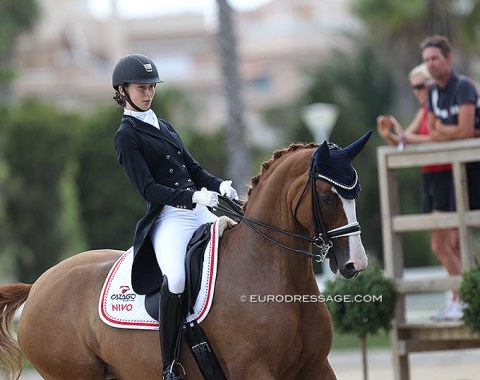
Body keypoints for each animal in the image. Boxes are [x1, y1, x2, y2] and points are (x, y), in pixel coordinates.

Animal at [0, 132, 372, 378]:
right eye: (327, 197)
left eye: (356, 193)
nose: (356, 263)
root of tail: (37, 286)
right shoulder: (254, 370)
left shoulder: (317, 367)